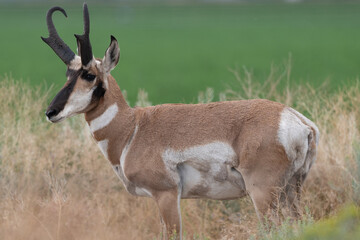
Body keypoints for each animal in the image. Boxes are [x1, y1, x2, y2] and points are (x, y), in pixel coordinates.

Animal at [41, 3, 318, 238]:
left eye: (88, 75)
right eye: (68, 73)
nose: (51, 112)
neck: (133, 128)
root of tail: (298, 121)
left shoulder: (167, 195)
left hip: (263, 194)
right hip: (292, 192)